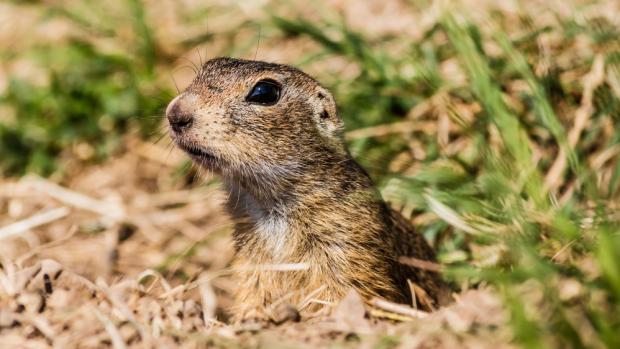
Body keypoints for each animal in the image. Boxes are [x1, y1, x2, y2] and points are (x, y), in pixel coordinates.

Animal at [165, 56, 450, 320]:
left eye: (264, 92)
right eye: (207, 68)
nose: (175, 113)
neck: (268, 204)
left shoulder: (348, 244)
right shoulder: (252, 260)